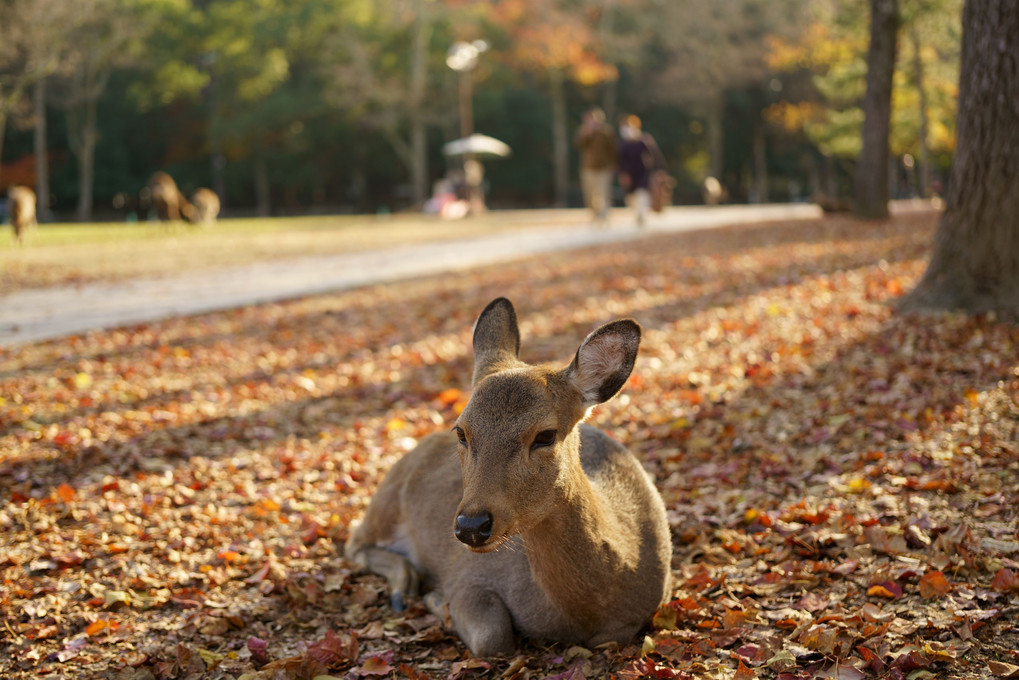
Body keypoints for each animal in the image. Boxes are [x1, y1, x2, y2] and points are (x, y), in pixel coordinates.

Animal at [346, 299, 672, 660]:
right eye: (461, 431)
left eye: (545, 435)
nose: (472, 526)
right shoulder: (467, 574)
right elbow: (493, 637)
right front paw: (437, 599)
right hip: (386, 501)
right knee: (354, 542)